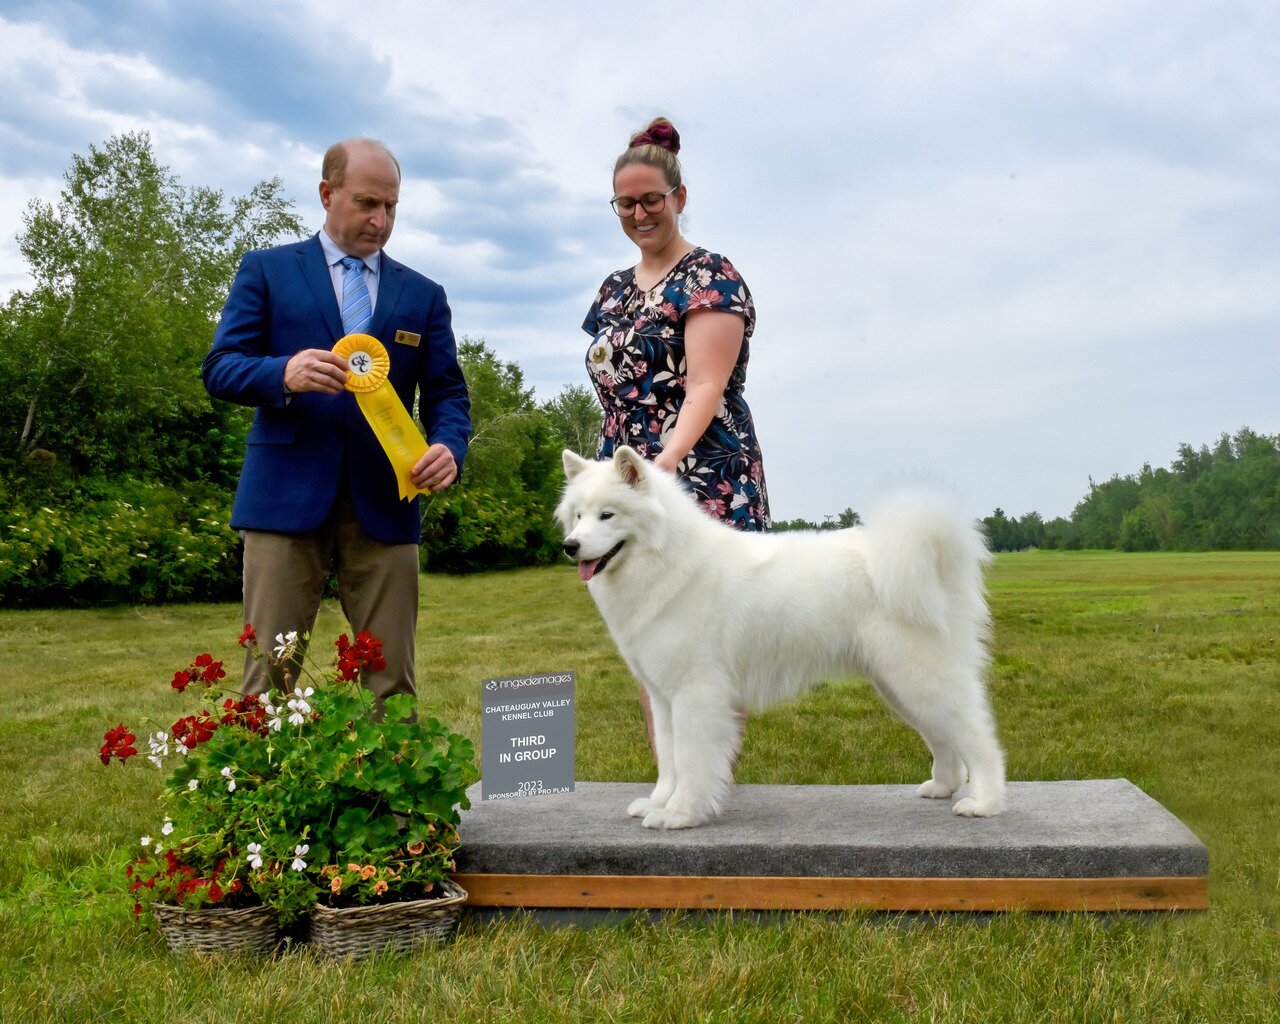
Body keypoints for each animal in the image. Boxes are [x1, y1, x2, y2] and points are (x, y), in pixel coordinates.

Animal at [560, 448, 1008, 829]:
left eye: (607, 515)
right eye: (577, 516)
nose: (570, 546)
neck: (669, 561)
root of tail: (933, 559)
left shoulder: (696, 694)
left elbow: (690, 759)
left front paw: (681, 814)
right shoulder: (663, 696)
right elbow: (669, 758)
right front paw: (659, 802)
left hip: (920, 677)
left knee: (978, 739)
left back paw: (984, 802)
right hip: (898, 686)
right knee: (943, 739)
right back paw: (943, 787)